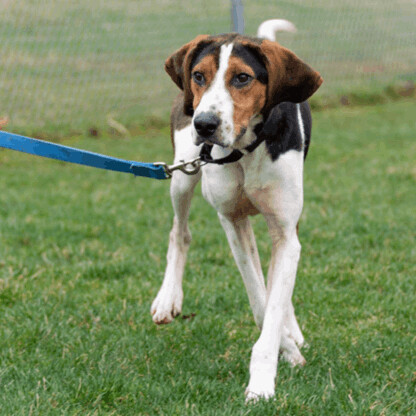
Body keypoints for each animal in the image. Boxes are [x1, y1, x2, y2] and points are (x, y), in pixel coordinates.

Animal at [151, 21, 324, 402]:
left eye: (242, 78)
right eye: (199, 76)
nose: (204, 124)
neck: (246, 149)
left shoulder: (285, 231)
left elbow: (275, 296)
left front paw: (265, 377)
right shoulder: (232, 221)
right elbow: (260, 302)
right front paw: (284, 351)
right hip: (181, 174)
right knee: (179, 232)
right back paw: (168, 298)